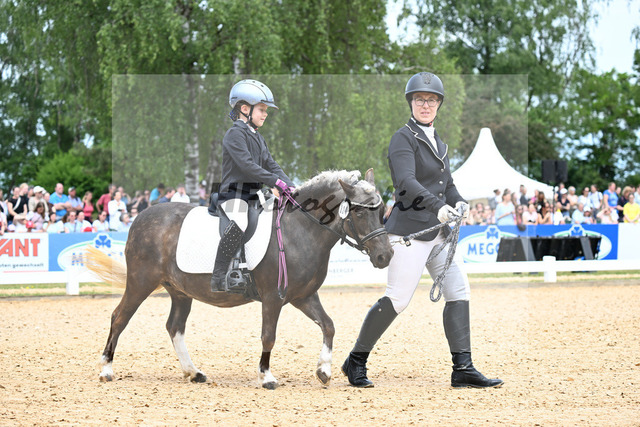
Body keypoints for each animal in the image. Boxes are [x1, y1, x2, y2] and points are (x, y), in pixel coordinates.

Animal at [87, 169, 394, 389]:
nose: (385, 256)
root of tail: (140, 218)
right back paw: (106, 370)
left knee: (174, 327)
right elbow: (268, 336)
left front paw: (324, 370)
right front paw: (267, 377)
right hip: (141, 282)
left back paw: (193, 372)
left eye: (382, 211)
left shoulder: (304, 296)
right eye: (359, 211)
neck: (300, 231)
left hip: (180, 291)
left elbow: (328, 326)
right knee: (119, 317)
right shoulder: (273, 298)